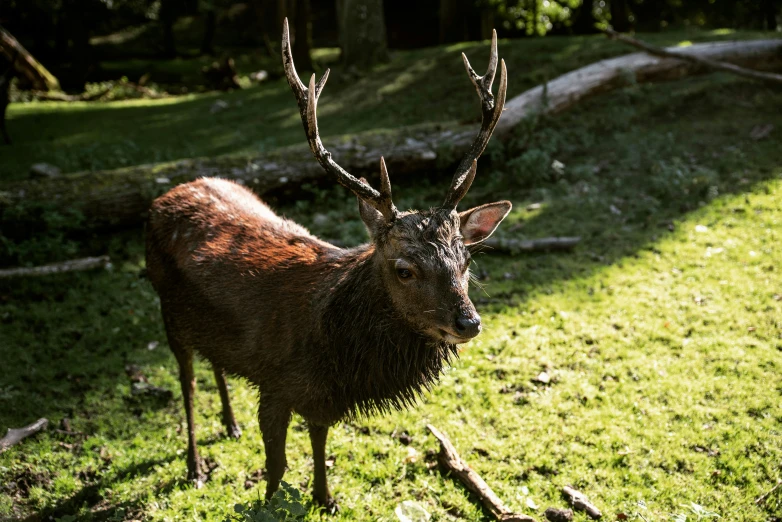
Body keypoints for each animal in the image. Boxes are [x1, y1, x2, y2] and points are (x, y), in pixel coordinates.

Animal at [145, 20, 516, 508]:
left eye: (467, 258)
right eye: (404, 269)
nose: (468, 322)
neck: (336, 355)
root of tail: (164, 197)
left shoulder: (323, 396)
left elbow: (320, 441)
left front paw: (325, 497)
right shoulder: (275, 383)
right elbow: (278, 466)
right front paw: (272, 503)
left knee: (217, 364)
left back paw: (230, 424)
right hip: (166, 308)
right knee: (187, 383)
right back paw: (195, 465)